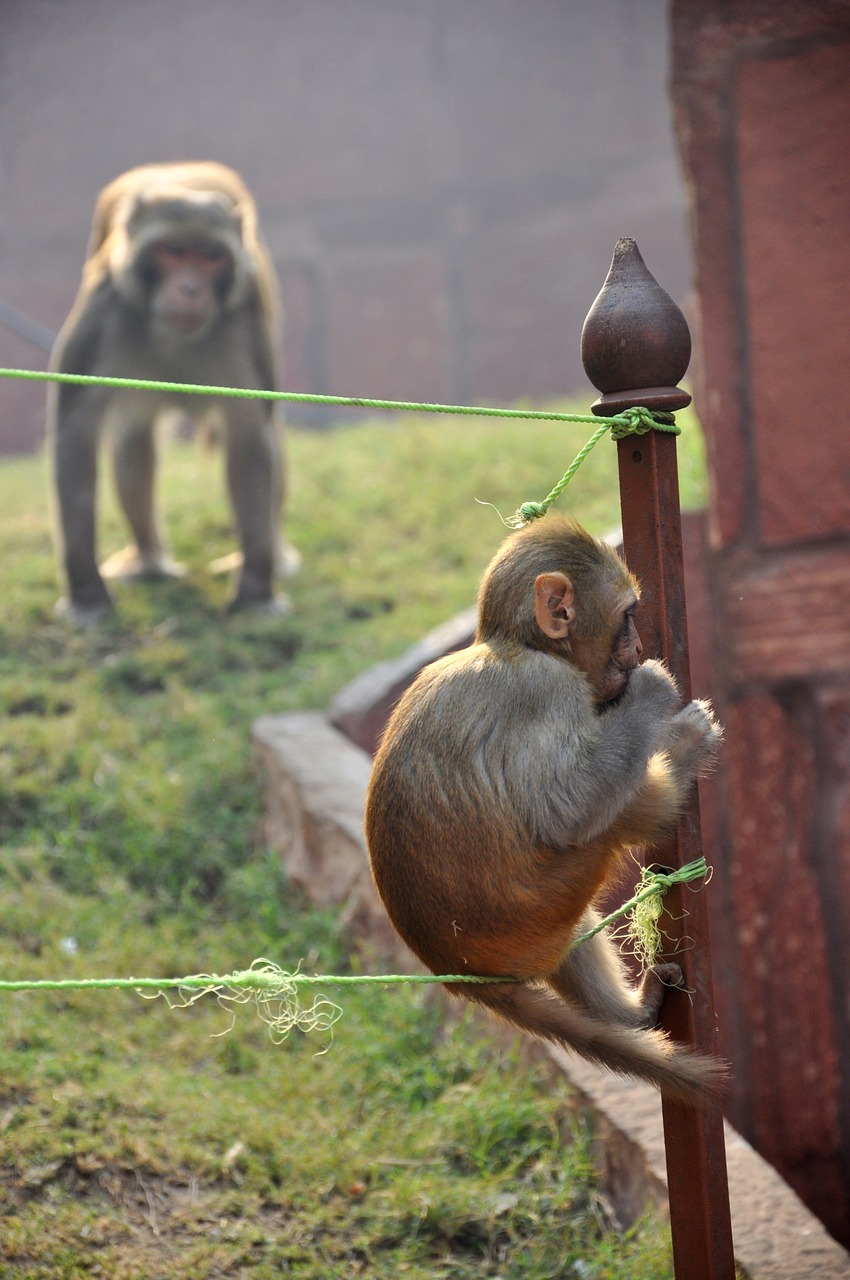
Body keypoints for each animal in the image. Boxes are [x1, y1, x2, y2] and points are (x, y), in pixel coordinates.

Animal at [48, 162, 289, 622]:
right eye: (173, 250)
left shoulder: (246, 319)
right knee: (132, 437)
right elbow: (76, 433)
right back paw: (148, 559)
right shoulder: (104, 311)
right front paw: (87, 595)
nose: (190, 289)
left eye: (211, 257)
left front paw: (254, 591)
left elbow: (250, 440)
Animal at [363, 514, 721, 1105]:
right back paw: (677, 760)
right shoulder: (549, 689)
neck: (520, 646)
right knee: (601, 826)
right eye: (627, 616)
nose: (638, 645)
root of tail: (454, 973)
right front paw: (654, 696)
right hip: (542, 906)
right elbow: (567, 808)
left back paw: (631, 1015)